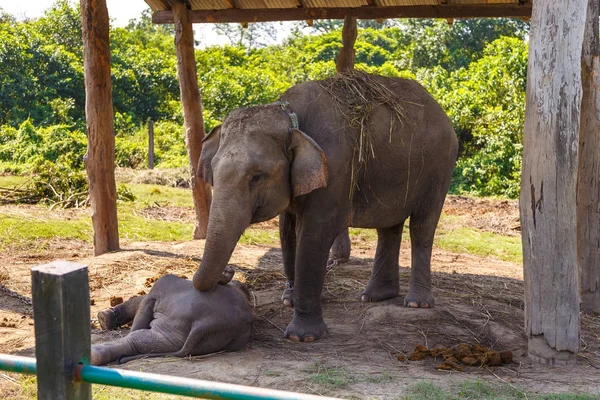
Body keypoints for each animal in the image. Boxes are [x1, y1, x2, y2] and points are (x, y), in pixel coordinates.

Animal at [195, 71, 458, 340]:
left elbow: (314, 234)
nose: (229, 273)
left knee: (422, 226)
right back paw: (375, 296)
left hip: (440, 166)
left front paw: (302, 336)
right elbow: (286, 232)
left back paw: (416, 303)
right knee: (388, 227)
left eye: (257, 176)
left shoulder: (335, 167)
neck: (289, 115)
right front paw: (289, 300)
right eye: (213, 171)